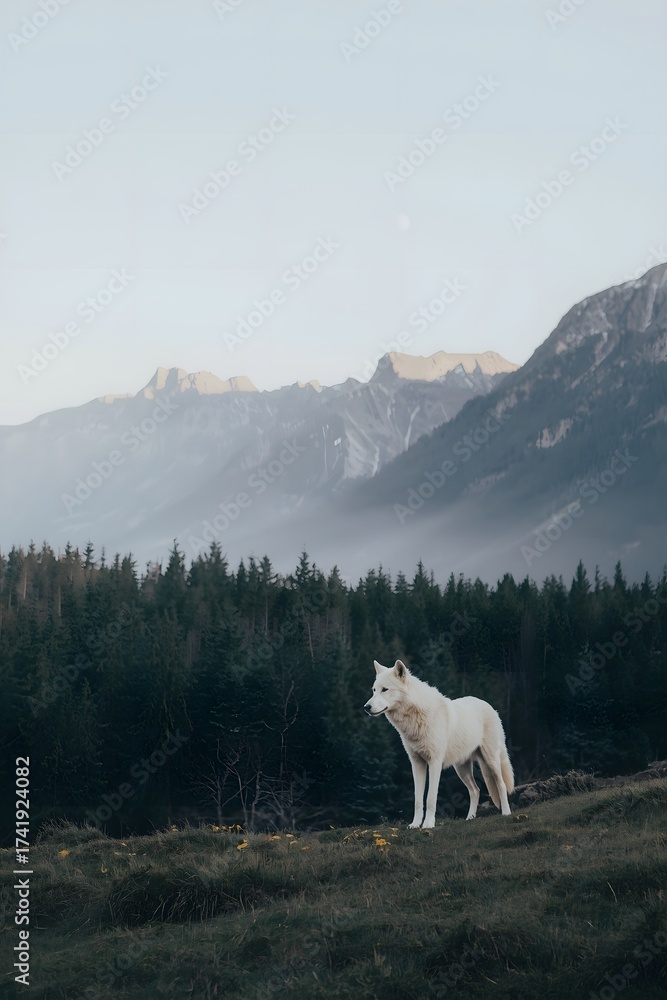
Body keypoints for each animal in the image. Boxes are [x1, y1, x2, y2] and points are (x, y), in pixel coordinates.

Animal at [364, 659, 514, 828]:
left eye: (385, 689)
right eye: (374, 690)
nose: (366, 707)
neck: (414, 720)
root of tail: (490, 706)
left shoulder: (434, 762)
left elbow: (430, 798)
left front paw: (428, 824)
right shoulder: (416, 763)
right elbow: (417, 800)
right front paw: (415, 825)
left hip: (491, 761)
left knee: (501, 784)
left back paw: (506, 812)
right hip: (461, 768)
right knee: (475, 790)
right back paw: (470, 818)